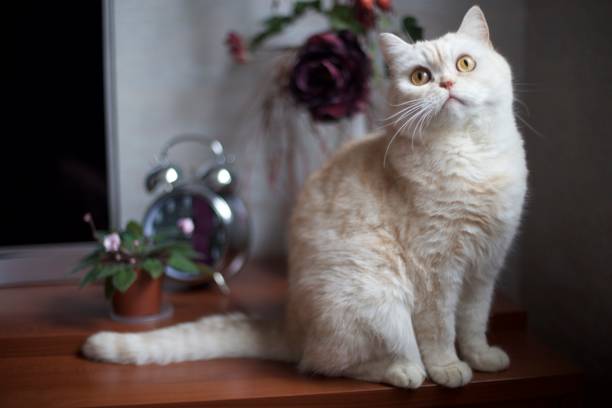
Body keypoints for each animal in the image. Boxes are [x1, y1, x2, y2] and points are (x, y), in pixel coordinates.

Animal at [83, 5, 528, 388]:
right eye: (420, 77)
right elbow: (439, 331)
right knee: (328, 363)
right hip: (378, 304)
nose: (448, 84)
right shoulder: (436, 273)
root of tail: (291, 326)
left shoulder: (484, 268)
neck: (470, 158)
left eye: (465, 64)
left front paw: (481, 357)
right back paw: (405, 371)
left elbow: (473, 322)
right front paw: (449, 368)